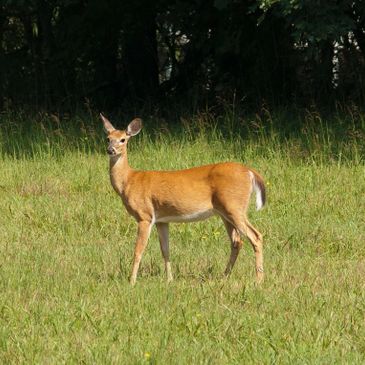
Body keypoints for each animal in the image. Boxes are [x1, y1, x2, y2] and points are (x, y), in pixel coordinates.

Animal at [101, 114, 266, 284]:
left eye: (123, 139)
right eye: (108, 138)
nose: (110, 150)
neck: (129, 180)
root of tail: (250, 171)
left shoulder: (144, 215)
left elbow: (138, 250)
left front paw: (131, 281)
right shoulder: (161, 220)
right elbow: (165, 250)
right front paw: (169, 280)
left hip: (234, 206)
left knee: (256, 236)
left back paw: (258, 280)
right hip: (225, 212)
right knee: (236, 241)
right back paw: (225, 276)